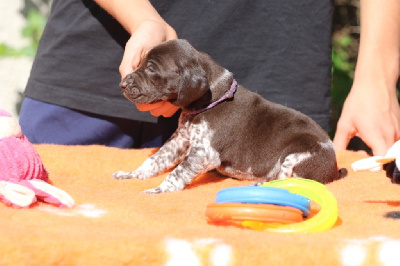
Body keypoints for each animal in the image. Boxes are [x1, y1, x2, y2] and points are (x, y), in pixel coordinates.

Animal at [111, 39, 344, 193]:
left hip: (298, 153)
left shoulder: (204, 154)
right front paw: (132, 175)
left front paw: (160, 190)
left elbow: (177, 172)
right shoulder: (180, 140)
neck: (211, 100)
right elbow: (155, 160)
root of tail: (334, 170)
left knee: (287, 180)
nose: (122, 84)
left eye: (151, 69)